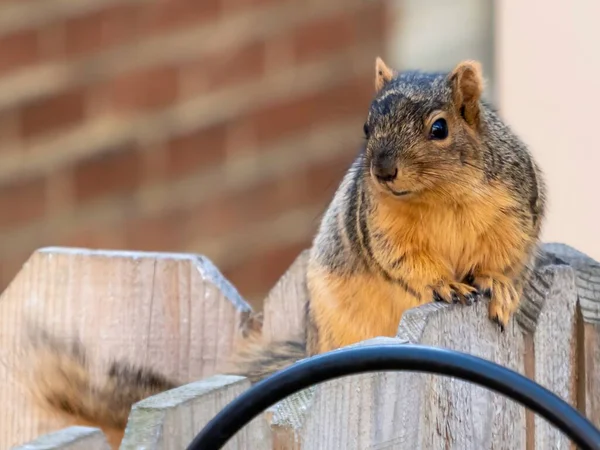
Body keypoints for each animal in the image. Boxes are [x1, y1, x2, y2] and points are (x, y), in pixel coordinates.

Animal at [19, 58, 544, 448]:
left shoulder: (515, 209)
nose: (382, 170)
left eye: (439, 128)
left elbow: (509, 256)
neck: (439, 198)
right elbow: (403, 261)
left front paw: (499, 285)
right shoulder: (380, 226)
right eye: (367, 125)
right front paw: (441, 282)